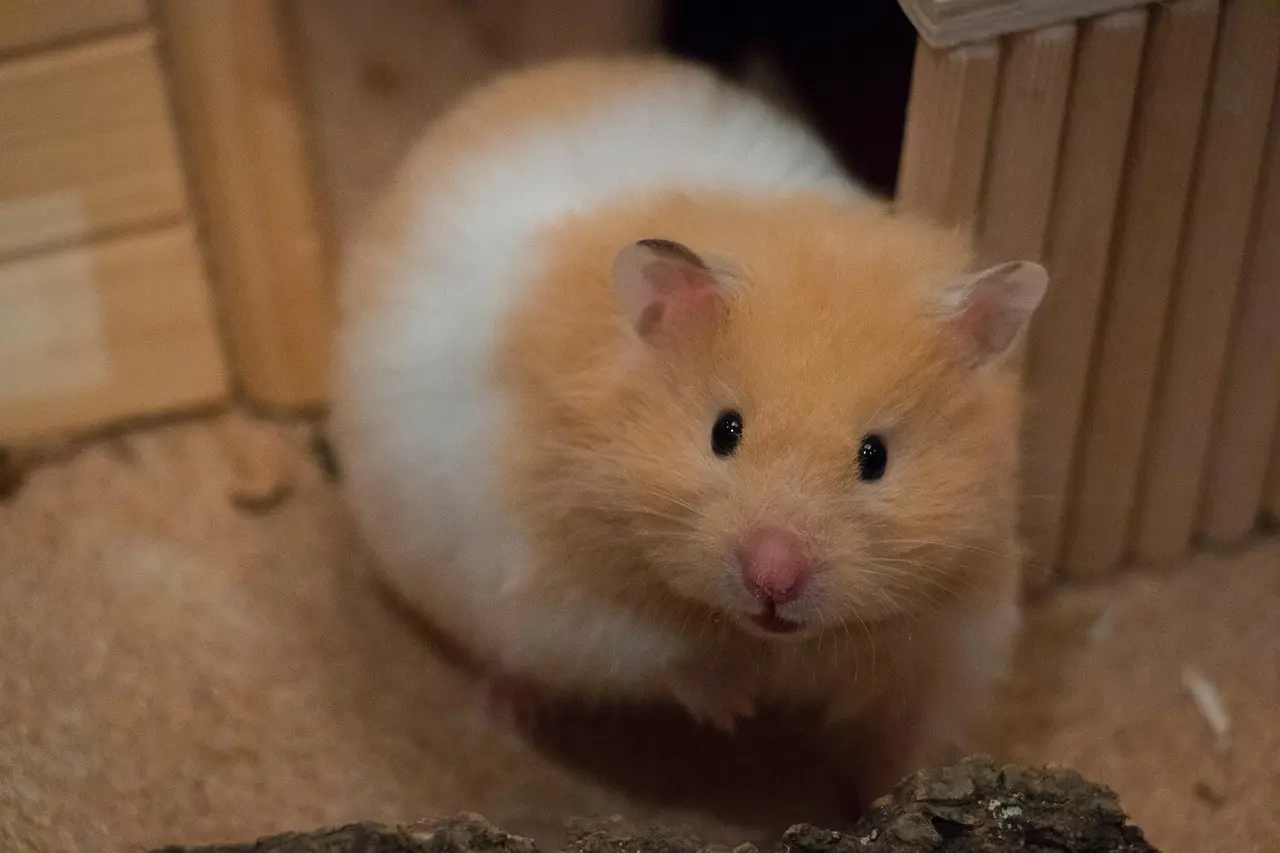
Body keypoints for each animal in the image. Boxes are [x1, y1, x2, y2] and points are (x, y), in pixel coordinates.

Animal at [329, 56, 1047, 805]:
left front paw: (893, 790)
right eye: (723, 431)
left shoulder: (952, 637)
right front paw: (738, 706)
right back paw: (510, 707)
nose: (773, 576)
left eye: (874, 456)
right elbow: (661, 653)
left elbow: (907, 734)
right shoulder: (563, 599)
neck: (774, 639)